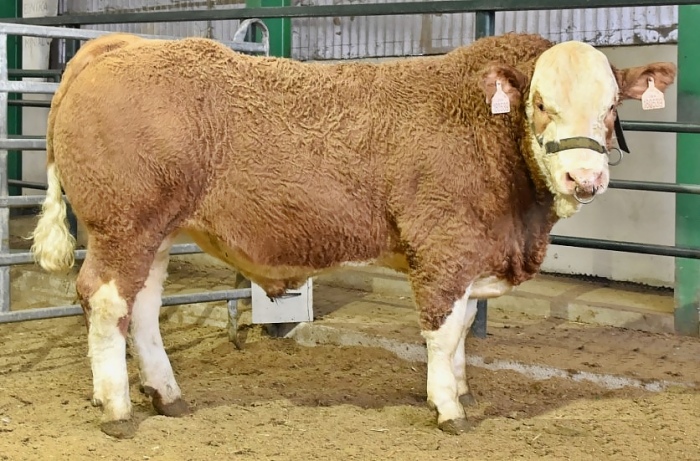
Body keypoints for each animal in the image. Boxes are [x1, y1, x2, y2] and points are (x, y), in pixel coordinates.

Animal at [30, 31, 675, 438]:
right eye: (540, 103)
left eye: (612, 107)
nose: (584, 178)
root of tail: (118, 44)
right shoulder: (442, 246)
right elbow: (444, 331)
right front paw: (448, 409)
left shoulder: (471, 254)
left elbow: (464, 327)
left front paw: (459, 389)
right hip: (124, 224)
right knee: (106, 301)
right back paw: (117, 409)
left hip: (157, 231)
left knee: (141, 309)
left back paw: (167, 396)